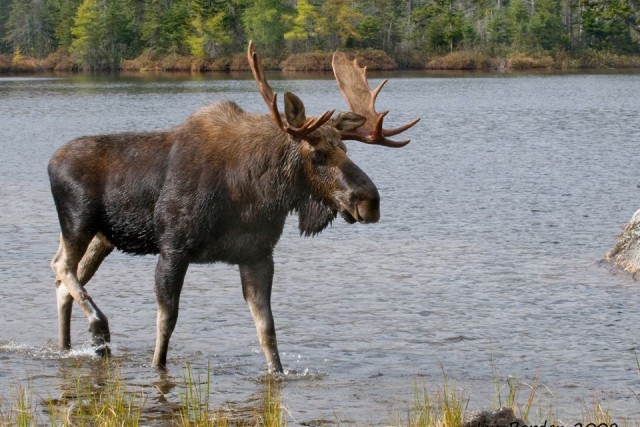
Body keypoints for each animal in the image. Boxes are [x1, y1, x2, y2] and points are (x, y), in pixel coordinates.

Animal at [50, 41, 420, 372]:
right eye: (318, 154)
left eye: (345, 148)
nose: (370, 200)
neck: (254, 194)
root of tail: (50, 162)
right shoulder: (173, 248)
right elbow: (166, 323)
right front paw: (156, 366)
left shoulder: (257, 255)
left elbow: (267, 330)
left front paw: (276, 373)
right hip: (78, 221)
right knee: (60, 267)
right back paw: (99, 329)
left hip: (103, 238)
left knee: (64, 283)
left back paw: (67, 346)